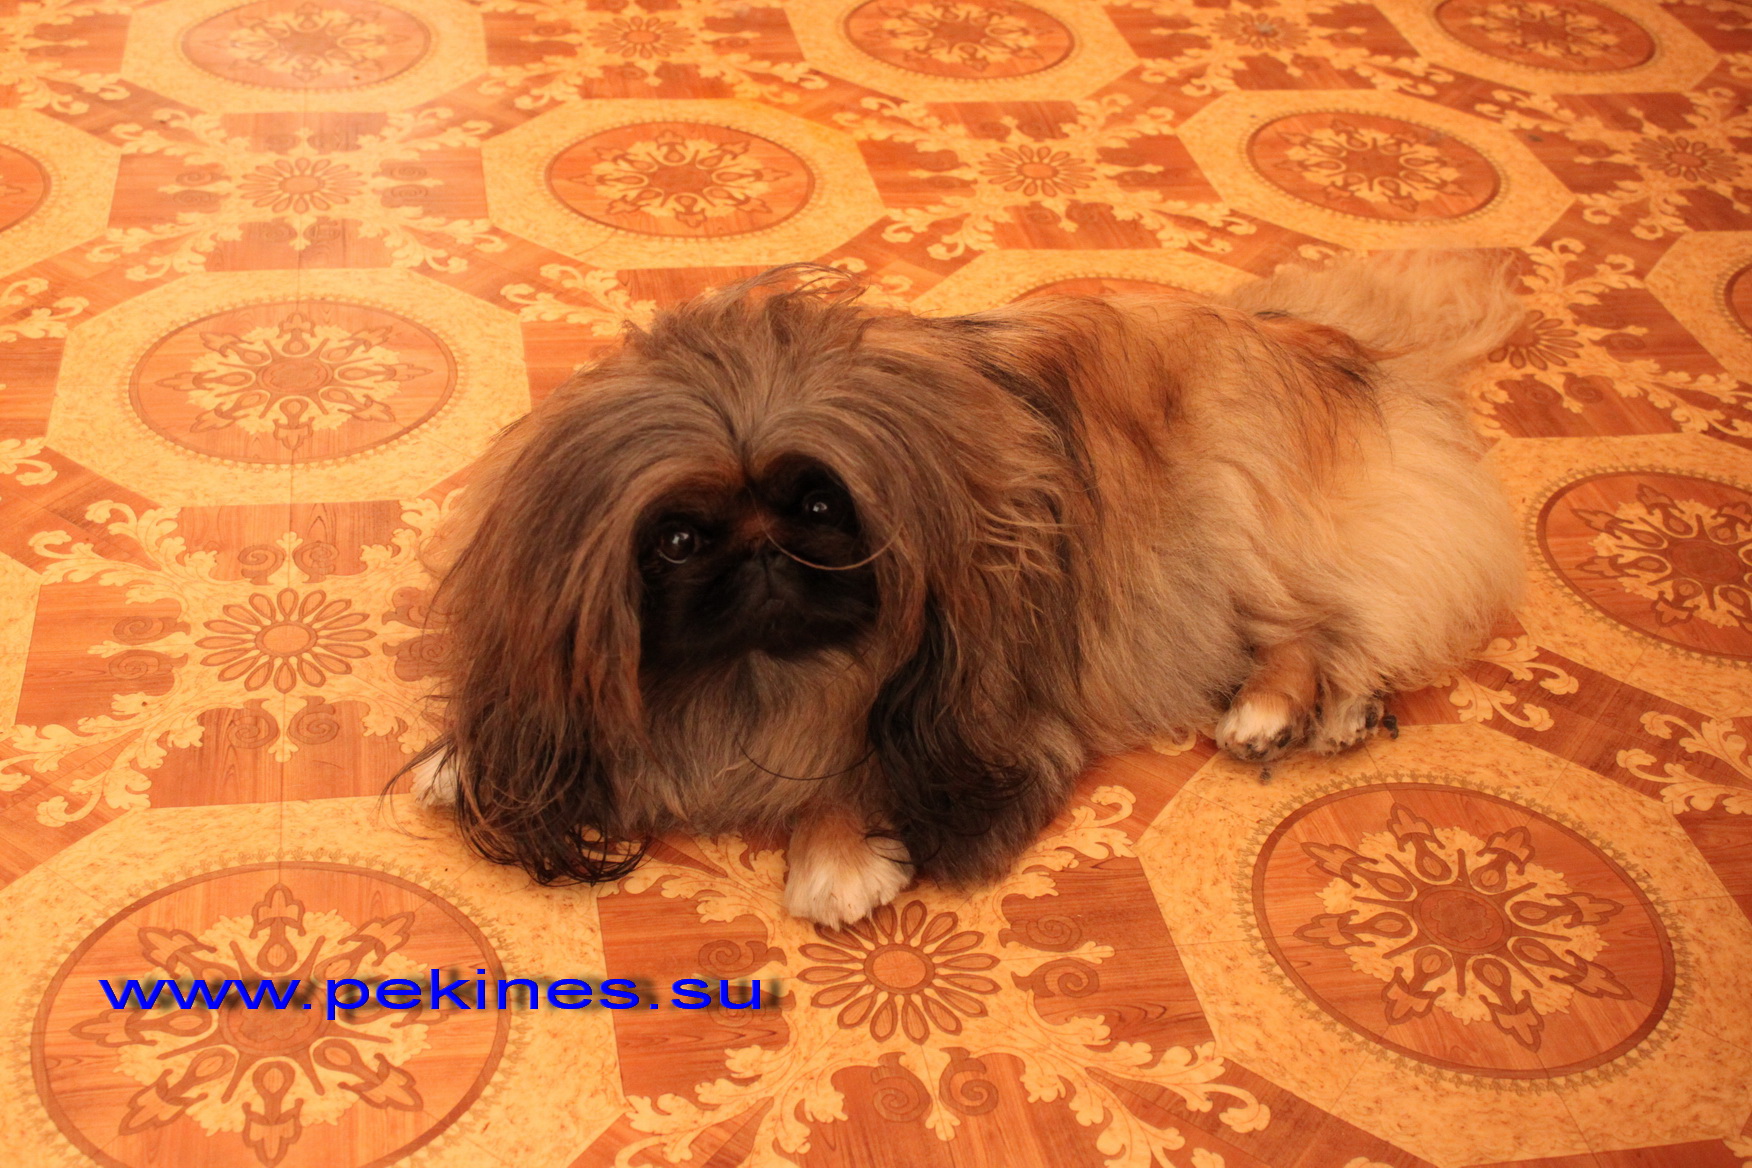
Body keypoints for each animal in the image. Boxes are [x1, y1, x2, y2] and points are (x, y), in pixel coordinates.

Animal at [407, 252, 1524, 926]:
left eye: (822, 508)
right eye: (678, 540)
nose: (764, 551)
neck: (758, 677)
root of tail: (1320, 341)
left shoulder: (972, 698)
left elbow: (865, 762)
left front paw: (833, 854)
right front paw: (462, 762)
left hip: (1233, 527)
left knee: (1340, 622)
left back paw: (1283, 710)